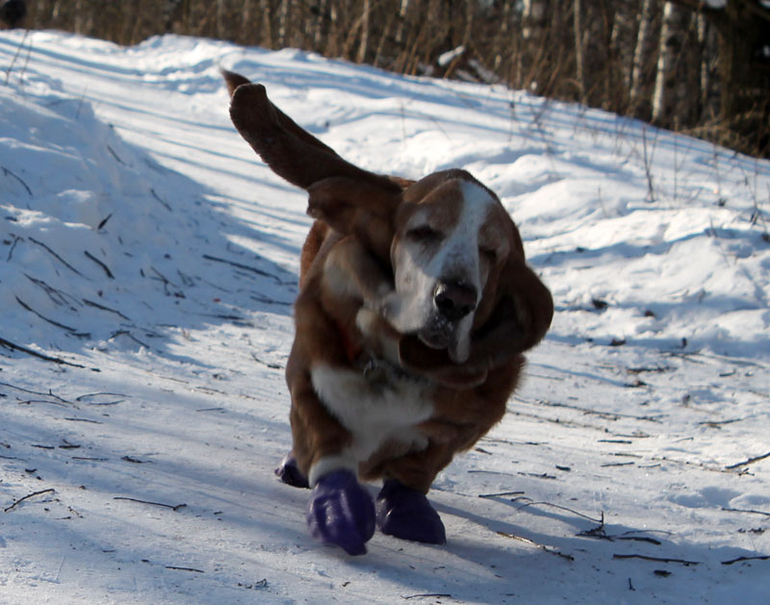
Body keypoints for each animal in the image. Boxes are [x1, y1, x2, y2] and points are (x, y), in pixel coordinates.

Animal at [223, 71, 553, 555]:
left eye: (491, 252)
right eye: (423, 232)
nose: (456, 299)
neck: (398, 362)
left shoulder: (457, 426)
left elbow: (419, 467)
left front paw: (408, 510)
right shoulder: (310, 379)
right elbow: (325, 442)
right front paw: (338, 509)